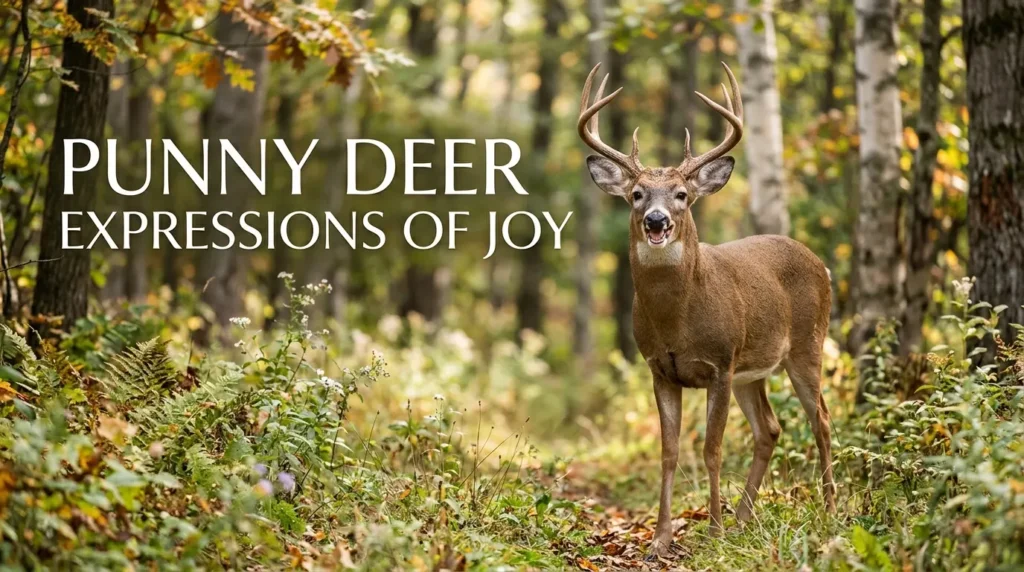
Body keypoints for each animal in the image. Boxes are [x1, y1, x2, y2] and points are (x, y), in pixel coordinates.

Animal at [578, 62, 836, 556]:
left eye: (681, 194)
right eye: (637, 194)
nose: (656, 220)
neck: (677, 320)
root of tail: (821, 263)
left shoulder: (719, 362)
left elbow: (711, 450)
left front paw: (712, 532)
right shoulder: (660, 368)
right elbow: (670, 451)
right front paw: (661, 538)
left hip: (806, 346)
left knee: (822, 420)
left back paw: (832, 512)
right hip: (751, 372)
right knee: (769, 429)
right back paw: (743, 519)